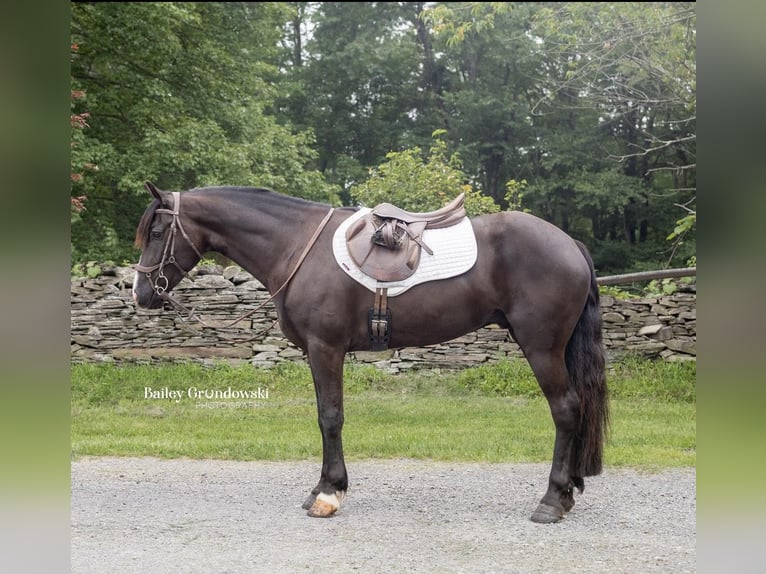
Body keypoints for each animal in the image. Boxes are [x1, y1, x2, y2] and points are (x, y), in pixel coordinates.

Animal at [134, 182, 612, 524]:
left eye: (157, 232)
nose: (141, 293)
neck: (297, 246)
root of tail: (570, 244)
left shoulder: (325, 348)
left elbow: (330, 417)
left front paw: (329, 494)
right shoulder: (319, 352)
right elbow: (325, 416)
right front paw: (322, 488)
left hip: (542, 347)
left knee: (566, 409)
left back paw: (551, 500)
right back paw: (567, 492)